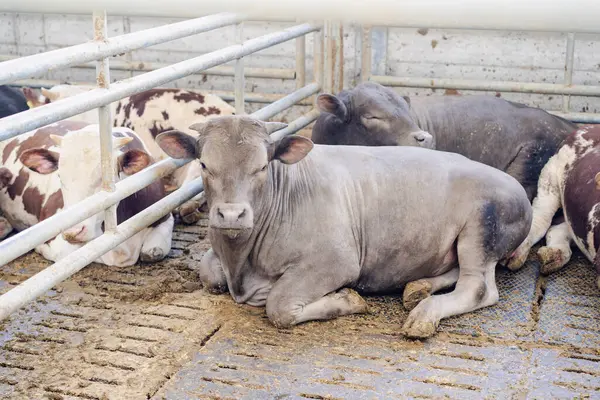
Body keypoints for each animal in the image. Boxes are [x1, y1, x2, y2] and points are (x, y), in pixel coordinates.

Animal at [157, 115, 532, 338]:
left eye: (262, 167)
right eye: (204, 165)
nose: (232, 215)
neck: (241, 261)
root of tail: (518, 191)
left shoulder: (337, 260)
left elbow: (279, 305)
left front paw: (348, 300)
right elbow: (209, 274)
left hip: (481, 231)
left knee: (478, 287)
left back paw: (425, 313)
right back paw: (419, 287)